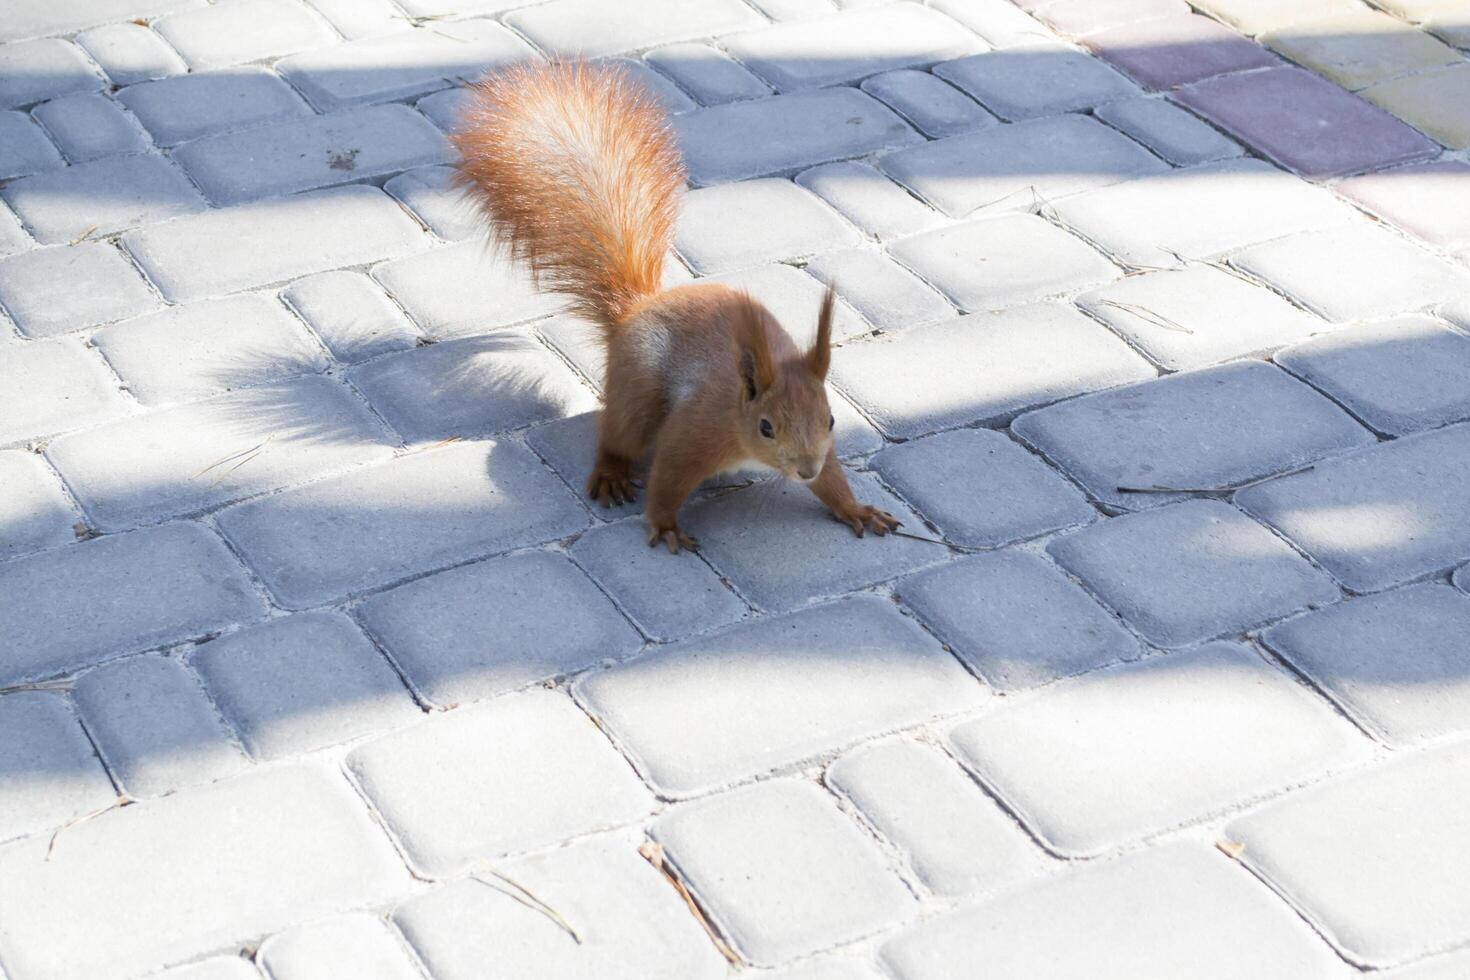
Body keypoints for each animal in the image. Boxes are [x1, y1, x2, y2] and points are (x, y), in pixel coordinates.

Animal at [452, 59, 899, 552]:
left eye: (832, 419)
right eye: (766, 426)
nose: (804, 470)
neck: (738, 414)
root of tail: (636, 306)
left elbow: (833, 481)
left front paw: (855, 508)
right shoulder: (695, 433)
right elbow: (668, 477)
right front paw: (666, 525)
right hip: (637, 391)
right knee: (618, 434)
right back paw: (611, 472)